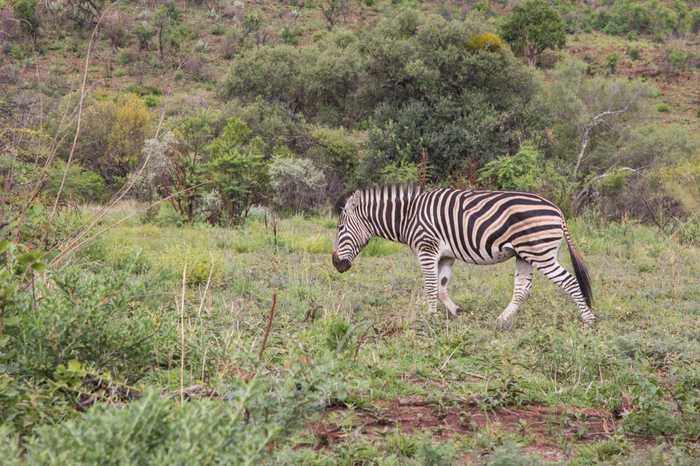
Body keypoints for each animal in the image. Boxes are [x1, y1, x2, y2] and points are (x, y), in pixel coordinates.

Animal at [330, 184, 592, 326]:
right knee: (522, 289)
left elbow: (430, 287)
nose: (335, 264)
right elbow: (441, 287)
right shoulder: (446, 255)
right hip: (524, 255)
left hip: (540, 253)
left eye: (340, 228)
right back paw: (501, 320)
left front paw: (430, 319)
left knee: (570, 282)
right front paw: (455, 312)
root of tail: (557, 209)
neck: (408, 216)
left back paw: (589, 320)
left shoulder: (427, 249)